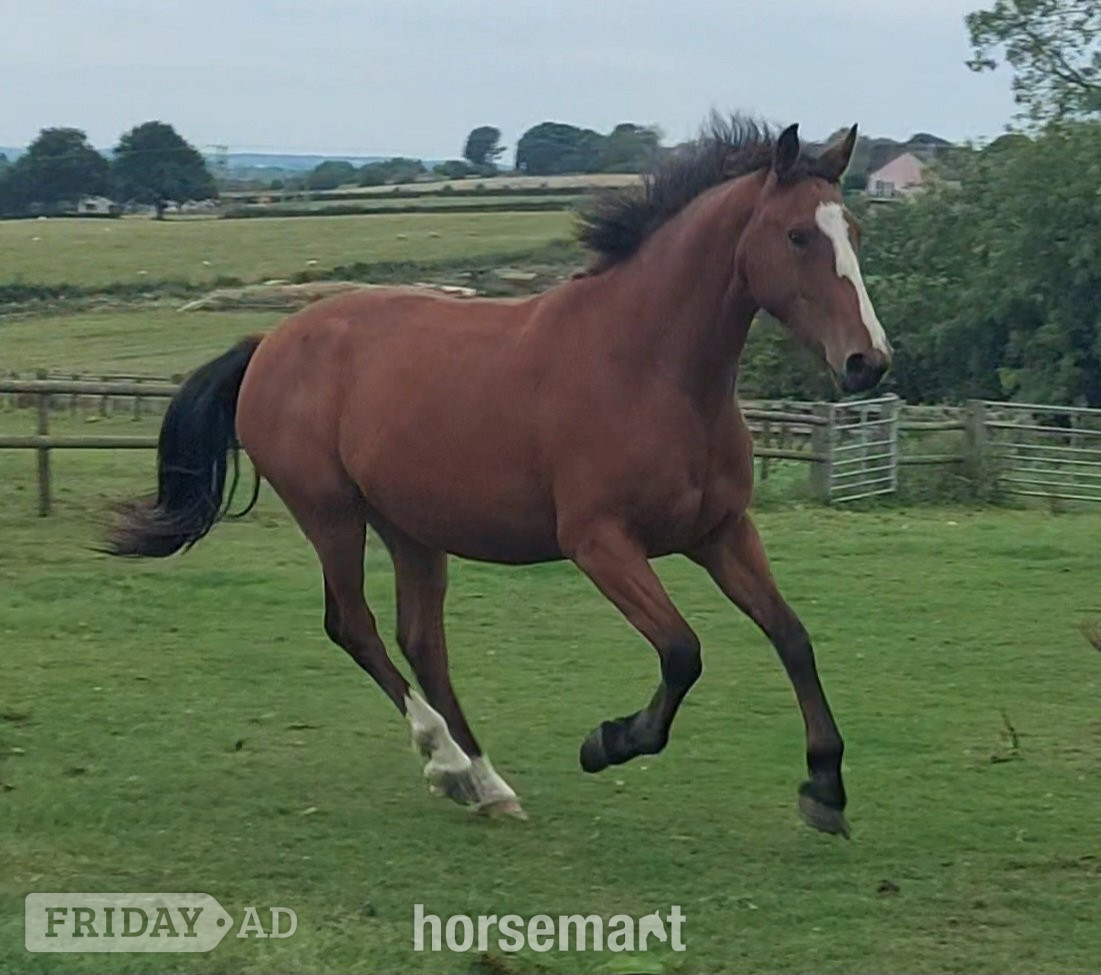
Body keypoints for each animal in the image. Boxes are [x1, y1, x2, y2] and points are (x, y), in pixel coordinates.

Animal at [106, 117, 891, 835]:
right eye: (797, 236)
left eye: (852, 229)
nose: (868, 361)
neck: (649, 368)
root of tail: (269, 340)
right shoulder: (600, 543)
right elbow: (681, 652)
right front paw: (608, 742)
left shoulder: (721, 533)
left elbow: (791, 635)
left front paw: (825, 787)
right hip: (331, 514)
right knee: (354, 625)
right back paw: (448, 762)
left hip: (410, 526)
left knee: (421, 639)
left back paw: (485, 784)